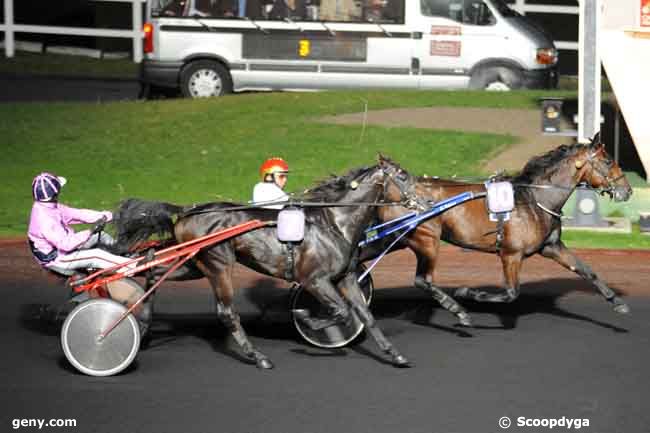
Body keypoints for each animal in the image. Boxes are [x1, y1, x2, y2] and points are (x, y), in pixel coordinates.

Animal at [114, 159, 412, 368]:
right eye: (403, 175)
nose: (420, 198)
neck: (334, 223)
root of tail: (188, 210)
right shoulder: (314, 280)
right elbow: (340, 311)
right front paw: (308, 319)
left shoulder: (346, 277)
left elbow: (365, 315)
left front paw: (394, 355)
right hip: (218, 263)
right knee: (227, 312)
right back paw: (258, 357)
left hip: (194, 265)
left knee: (154, 271)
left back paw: (144, 322)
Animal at [356, 136, 632, 324]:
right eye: (608, 161)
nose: (627, 190)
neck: (532, 199)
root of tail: (391, 194)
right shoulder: (511, 254)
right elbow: (511, 293)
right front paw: (469, 292)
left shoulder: (551, 247)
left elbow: (587, 271)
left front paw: (617, 302)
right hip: (425, 239)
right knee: (422, 280)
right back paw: (457, 309)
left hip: (402, 238)